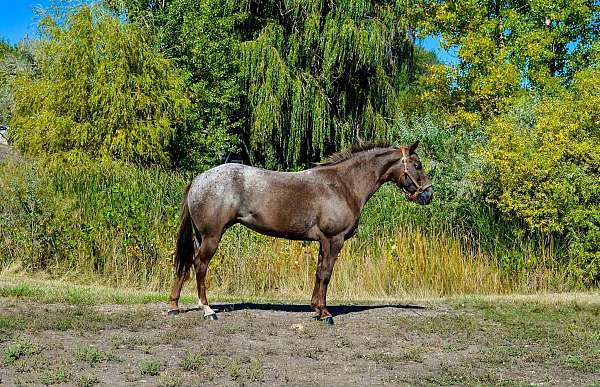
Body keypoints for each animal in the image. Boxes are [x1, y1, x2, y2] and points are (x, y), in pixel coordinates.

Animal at [168, 142, 432, 324]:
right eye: (417, 165)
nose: (428, 194)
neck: (343, 185)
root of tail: (198, 179)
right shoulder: (334, 240)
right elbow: (326, 274)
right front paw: (325, 313)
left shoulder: (323, 242)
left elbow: (318, 273)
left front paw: (316, 308)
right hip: (212, 236)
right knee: (200, 265)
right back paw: (207, 310)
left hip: (200, 236)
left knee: (186, 264)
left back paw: (174, 306)